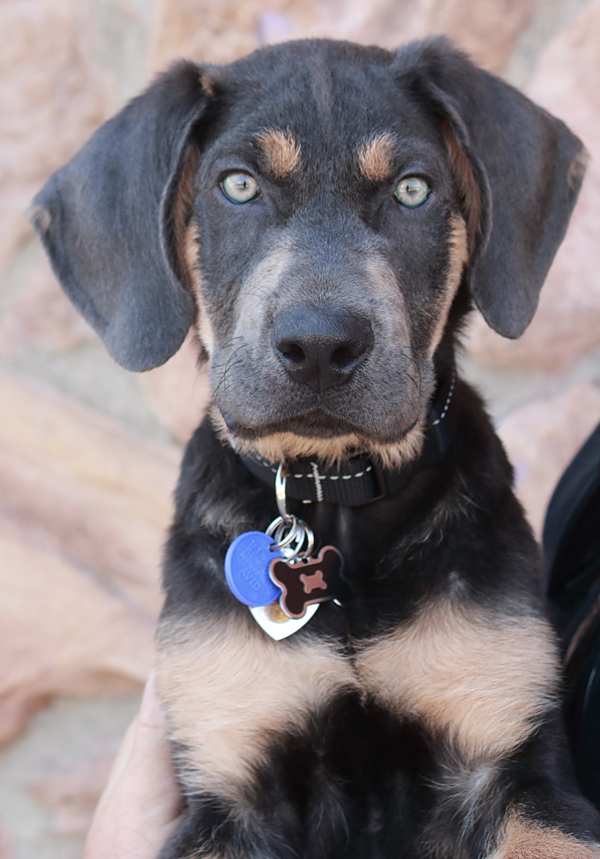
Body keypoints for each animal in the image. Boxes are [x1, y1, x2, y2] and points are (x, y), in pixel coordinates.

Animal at [28, 35, 600, 859]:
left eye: (413, 190)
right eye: (237, 186)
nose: (322, 345)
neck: (334, 496)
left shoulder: (517, 760)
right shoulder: (228, 778)